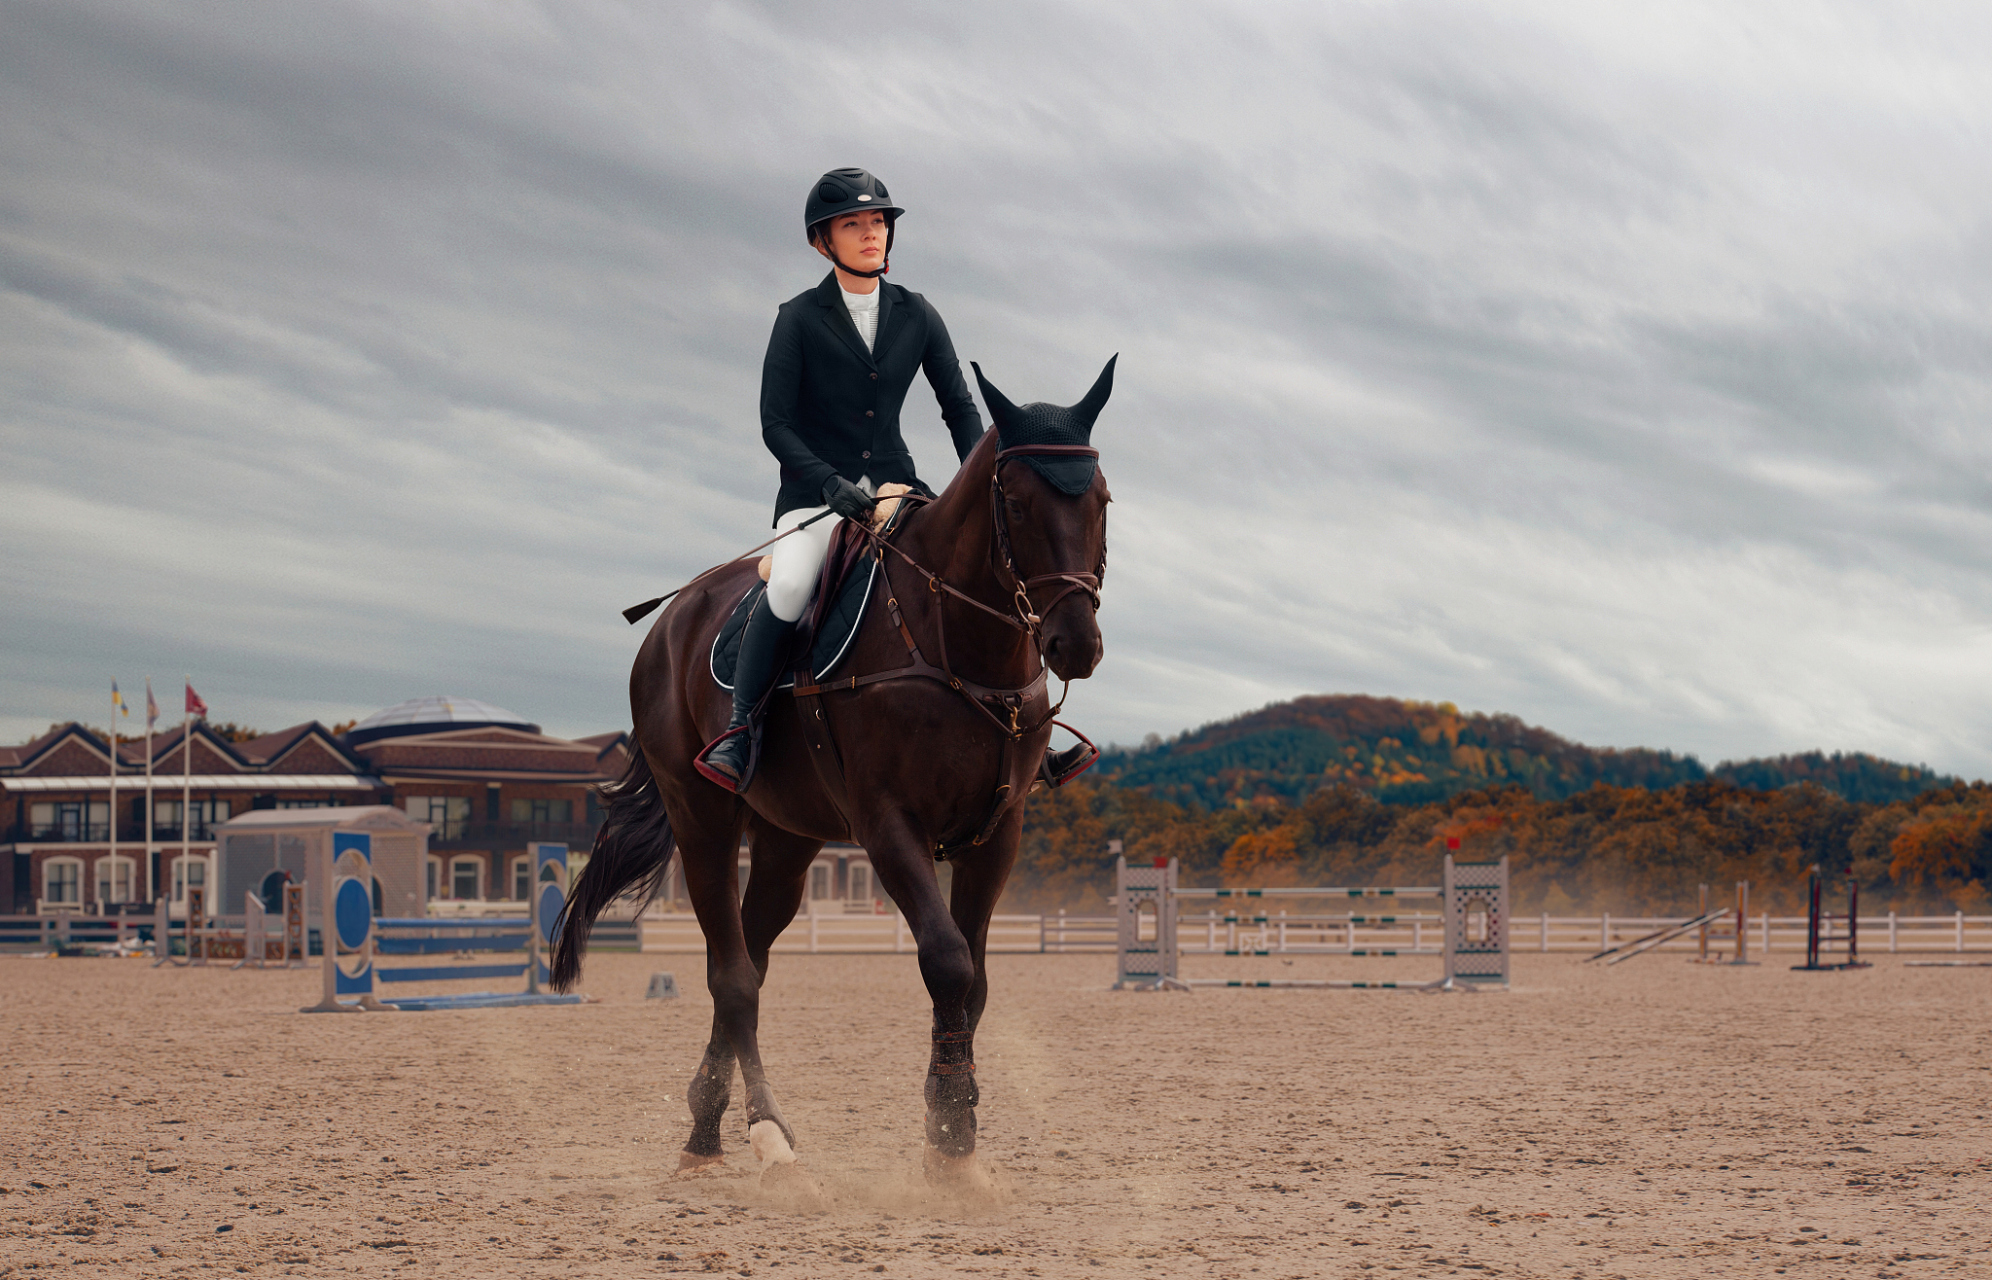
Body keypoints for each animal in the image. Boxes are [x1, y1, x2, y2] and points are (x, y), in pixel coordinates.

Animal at [552, 357, 1115, 1188]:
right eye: (1014, 501)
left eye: (1102, 501)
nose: (1075, 644)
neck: (959, 646)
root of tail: (673, 616)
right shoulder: (887, 825)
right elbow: (947, 962)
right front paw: (951, 1134)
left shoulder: (996, 834)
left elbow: (975, 981)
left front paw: (951, 1134)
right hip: (701, 816)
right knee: (732, 975)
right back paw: (768, 1133)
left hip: (788, 839)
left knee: (749, 959)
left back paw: (706, 1127)